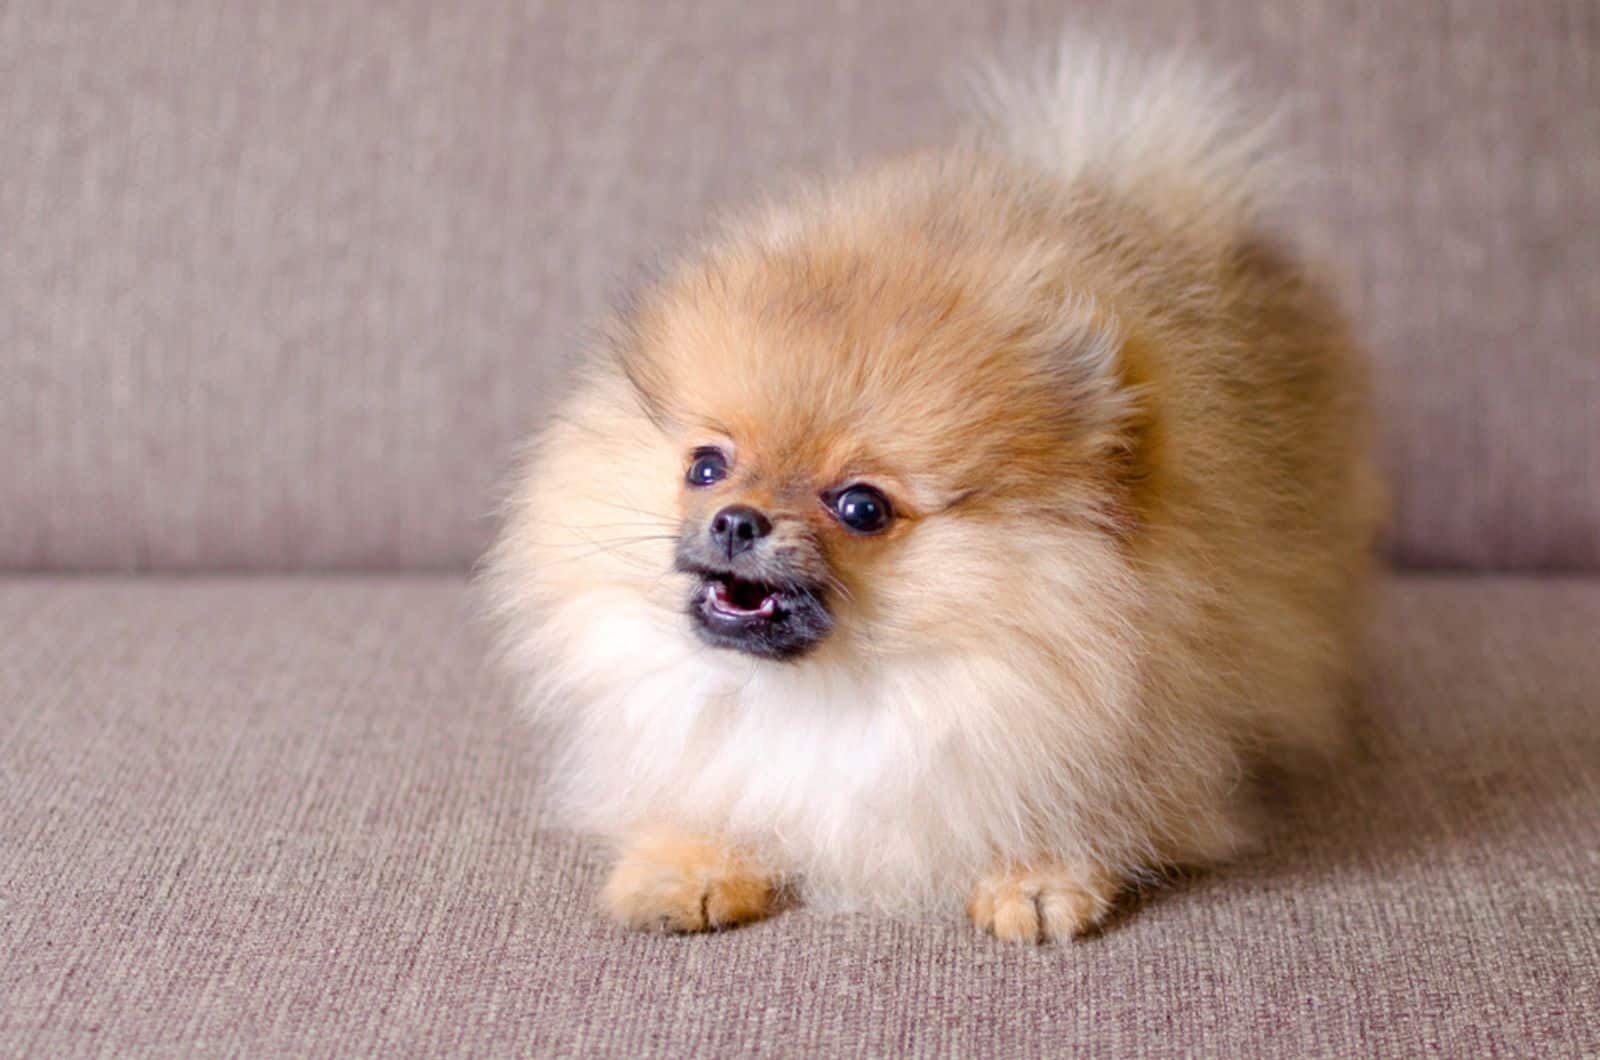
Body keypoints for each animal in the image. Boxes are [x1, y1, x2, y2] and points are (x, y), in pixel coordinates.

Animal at [483, 39, 1376, 947]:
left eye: (861, 507)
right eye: (705, 465)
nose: (735, 521)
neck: (838, 696)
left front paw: (1039, 877)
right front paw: (686, 862)